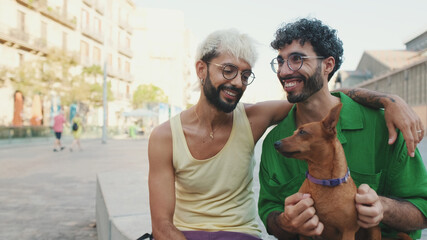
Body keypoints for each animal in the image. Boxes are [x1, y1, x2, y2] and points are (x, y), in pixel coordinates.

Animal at [276, 102, 382, 239]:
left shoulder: (348, 231)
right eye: (295, 132)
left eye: (302, 132)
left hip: (374, 228)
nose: (276, 143)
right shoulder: (303, 232)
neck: (323, 182)